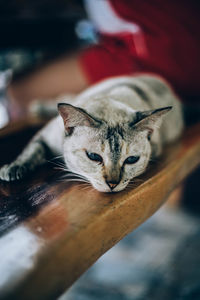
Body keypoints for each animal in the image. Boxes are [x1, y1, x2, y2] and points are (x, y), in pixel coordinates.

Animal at [0, 75, 184, 192]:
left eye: (131, 159)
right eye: (94, 157)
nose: (112, 184)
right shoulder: (45, 135)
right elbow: (31, 152)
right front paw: (12, 169)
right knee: (63, 98)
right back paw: (38, 107)